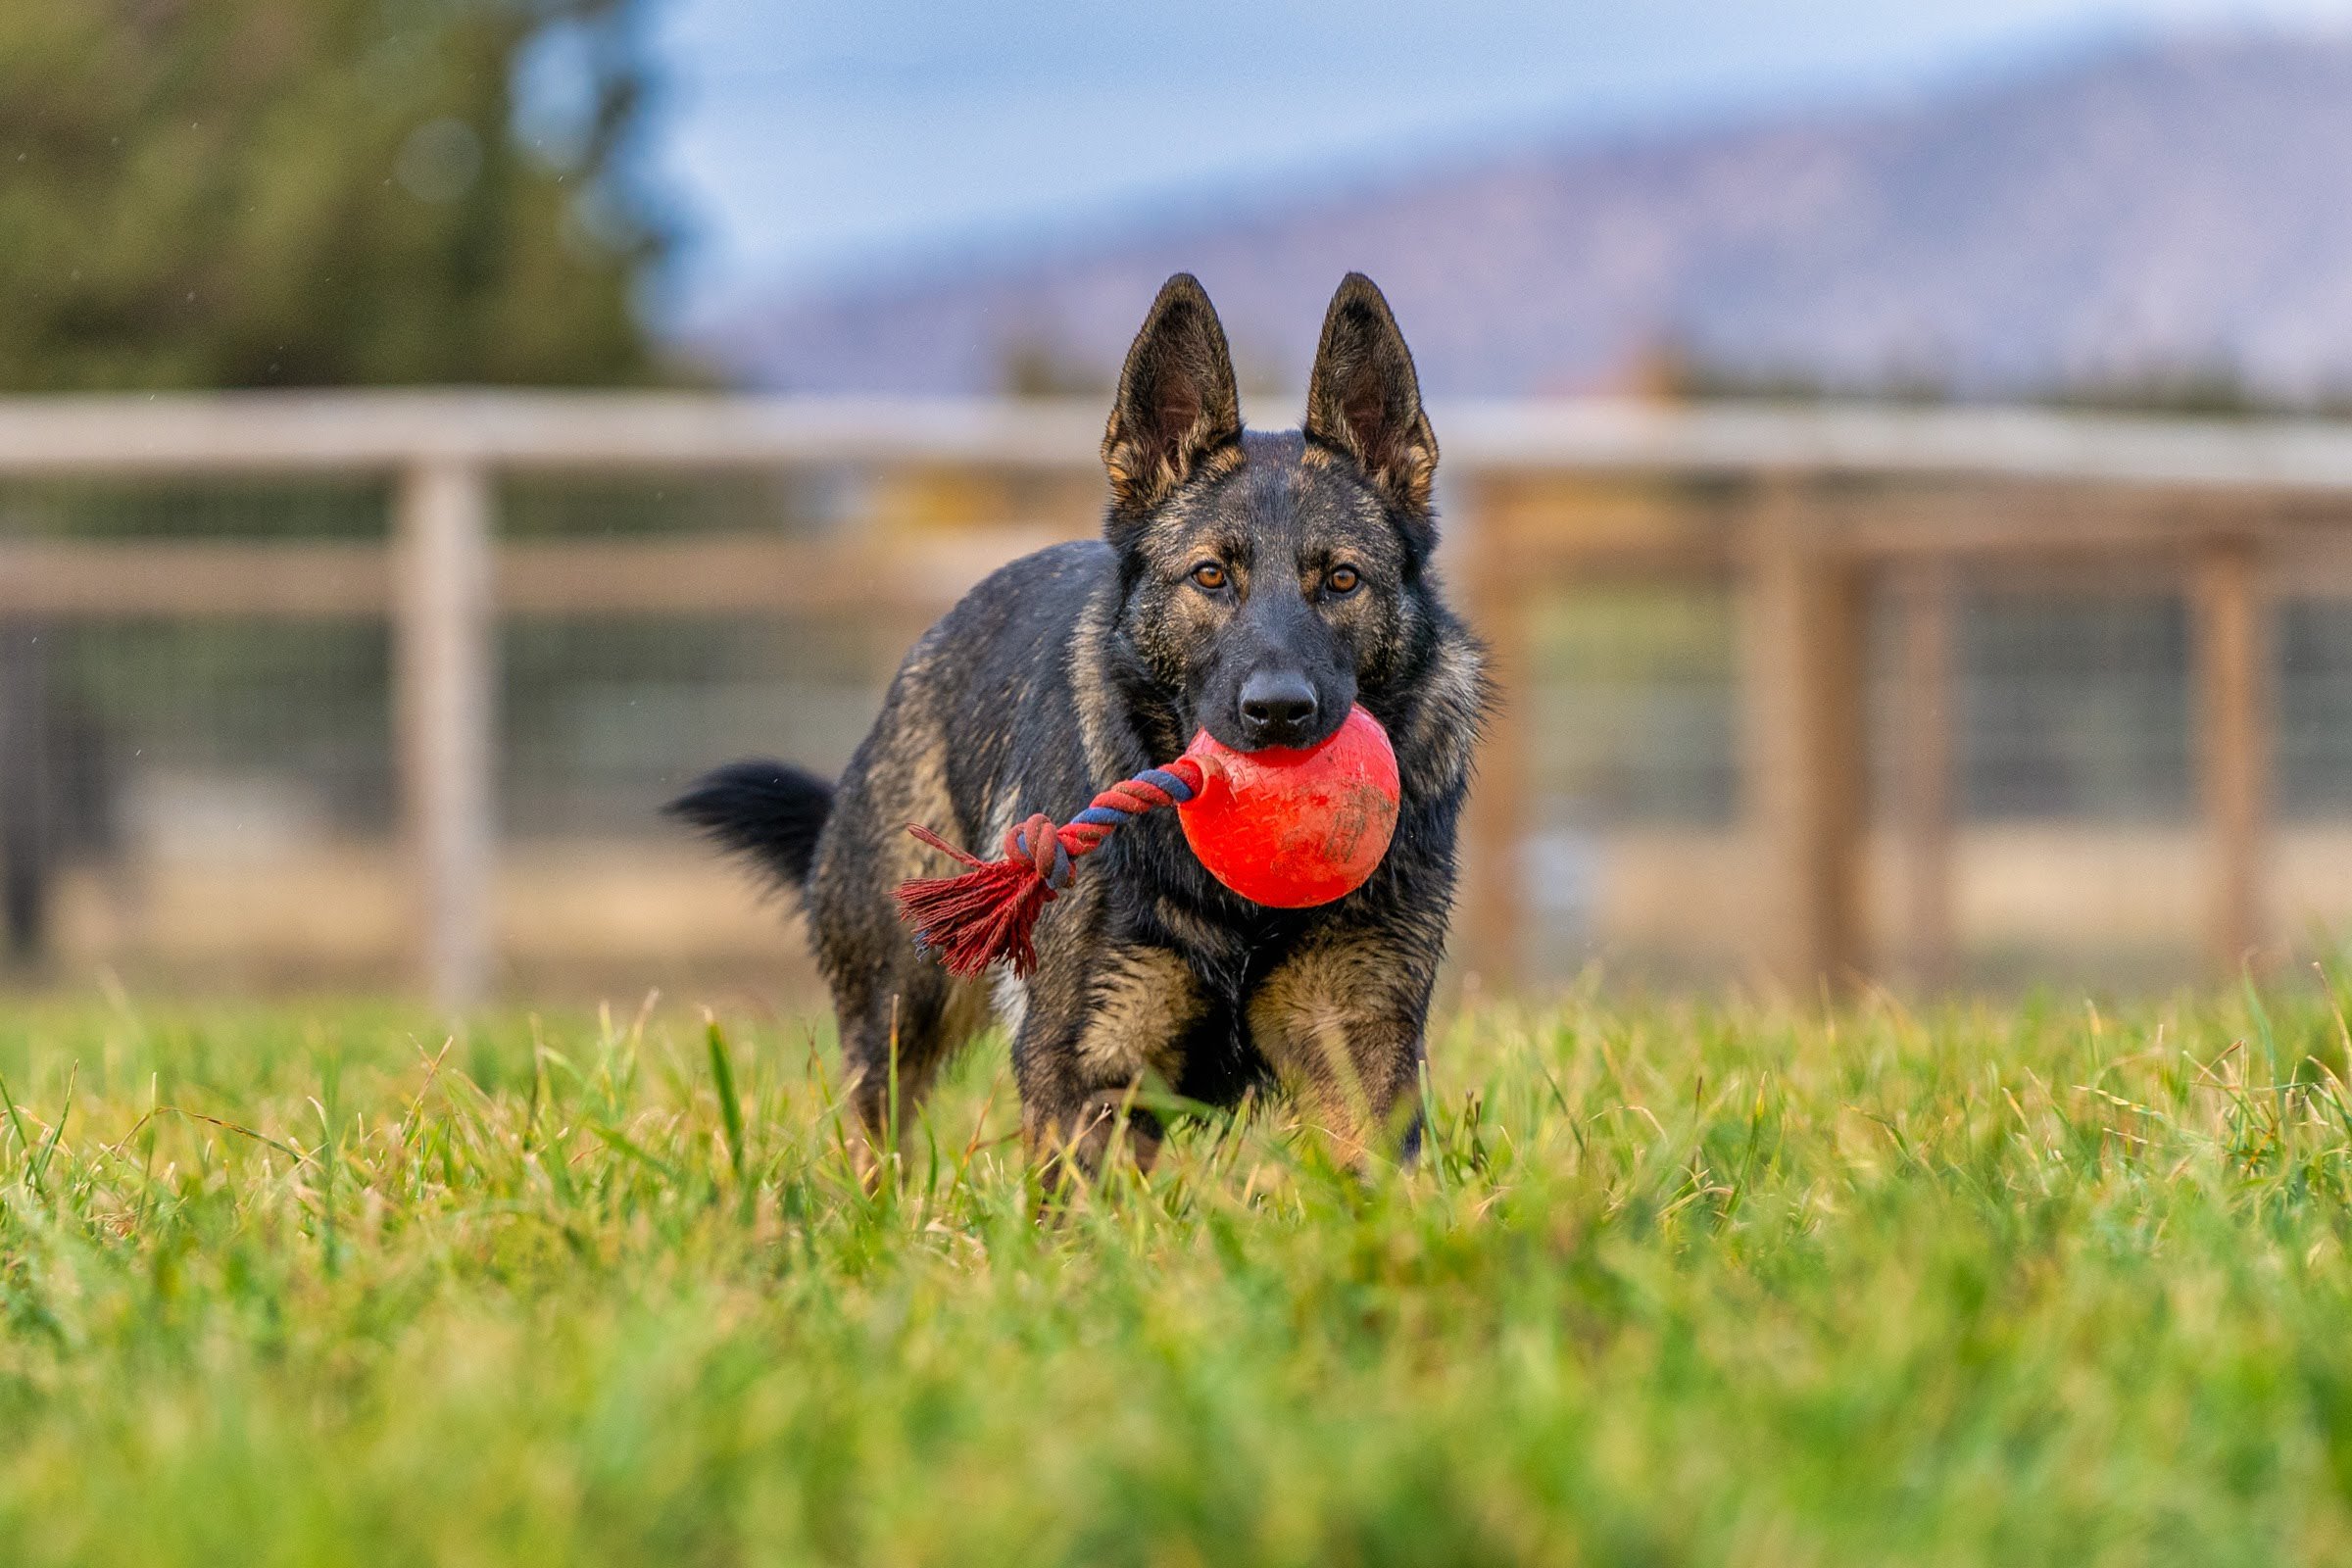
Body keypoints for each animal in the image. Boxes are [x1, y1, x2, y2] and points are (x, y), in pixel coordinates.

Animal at [677, 272, 1486, 1175]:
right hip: (898, 1009)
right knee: (875, 1124)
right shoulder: (1086, 1070)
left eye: (1342, 580)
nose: (1278, 712)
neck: (1236, 906)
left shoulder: (1360, 1061)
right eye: (1210, 576)